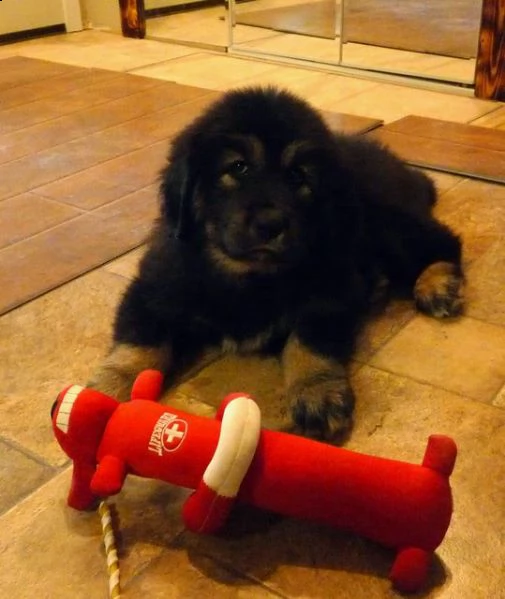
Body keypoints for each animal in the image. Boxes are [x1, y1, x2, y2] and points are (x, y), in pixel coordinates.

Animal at [89, 85, 460, 440]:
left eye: (298, 176)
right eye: (238, 167)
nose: (270, 224)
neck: (248, 276)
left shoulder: (332, 289)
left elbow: (307, 339)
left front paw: (316, 390)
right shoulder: (153, 288)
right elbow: (140, 345)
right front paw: (107, 388)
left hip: (386, 222)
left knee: (445, 241)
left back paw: (437, 285)